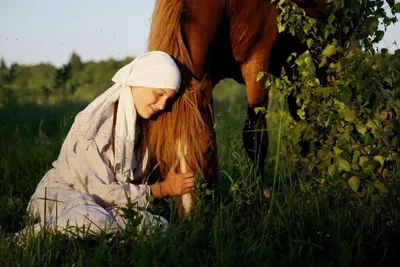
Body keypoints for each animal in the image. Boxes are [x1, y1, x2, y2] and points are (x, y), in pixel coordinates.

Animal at [145, 0, 330, 218]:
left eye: (209, 149)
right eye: (160, 155)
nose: (192, 215)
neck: (226, 8)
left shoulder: (256, 67)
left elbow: (254, 139)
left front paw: (262, 201)